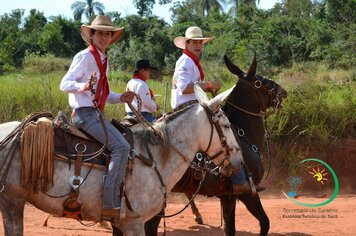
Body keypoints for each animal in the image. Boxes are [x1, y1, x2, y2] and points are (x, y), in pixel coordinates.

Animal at [143, 54, 288, 235]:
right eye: (260, 81)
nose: (283, 92)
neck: (244, 133)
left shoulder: (226, 196)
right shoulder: (245, 193)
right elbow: (262, 223)